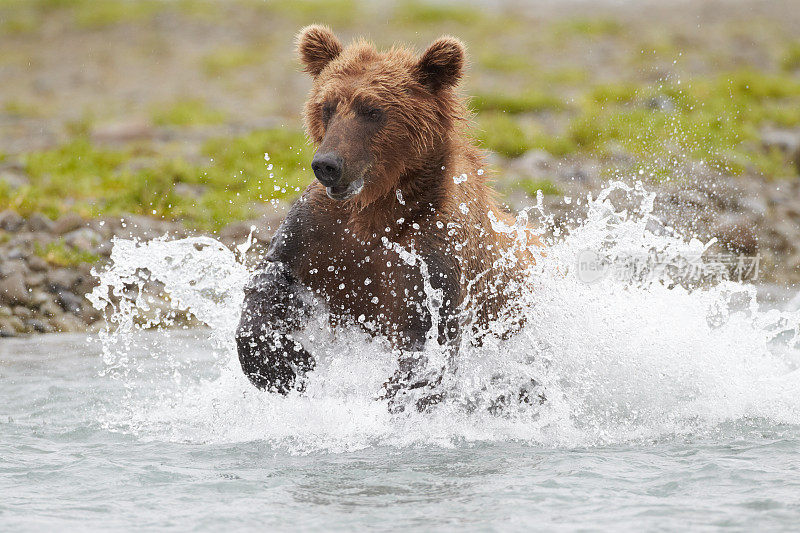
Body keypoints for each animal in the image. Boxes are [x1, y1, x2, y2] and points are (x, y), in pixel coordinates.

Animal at [236, 27, 536, 412]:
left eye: (372, 110)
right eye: (327, 106)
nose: (327, 164)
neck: (377, 208)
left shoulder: (430, 250)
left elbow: (427, 337)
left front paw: (392, 396)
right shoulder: (320, 230)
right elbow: (274, 277)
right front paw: (284, 365)